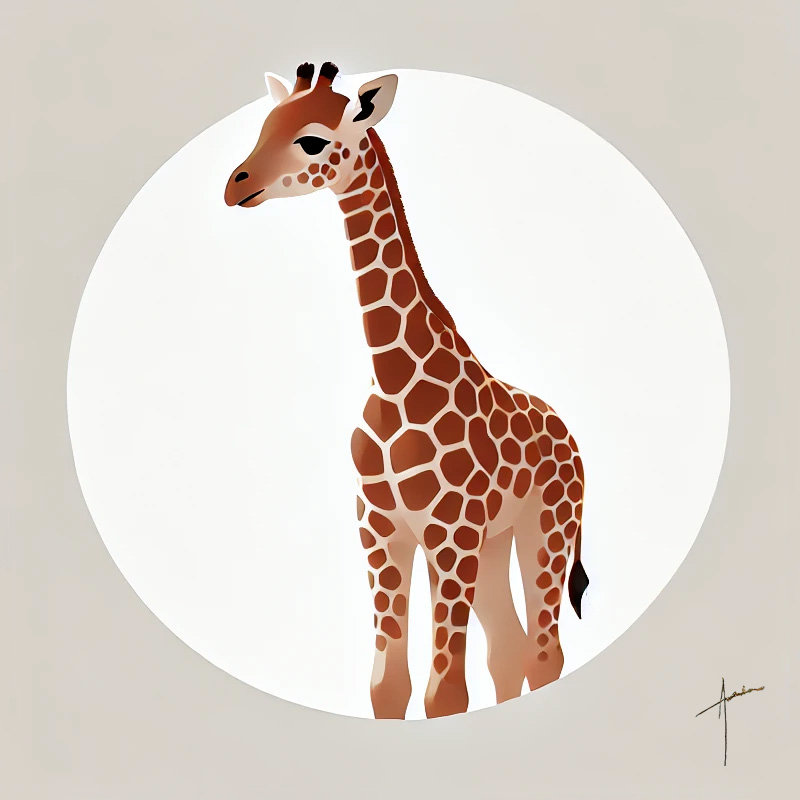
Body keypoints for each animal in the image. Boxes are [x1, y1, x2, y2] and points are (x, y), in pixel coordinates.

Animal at [224, 62, 589, 719]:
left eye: (311, 140)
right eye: (264, 125)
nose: (234, 185)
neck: (394, 378)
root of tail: (574, 441)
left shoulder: (450, 529)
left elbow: (445, 692)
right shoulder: (379, 526)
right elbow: (387, 685)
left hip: (545, 528)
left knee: (544, 653)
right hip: (495, 542)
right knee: (510, 651)